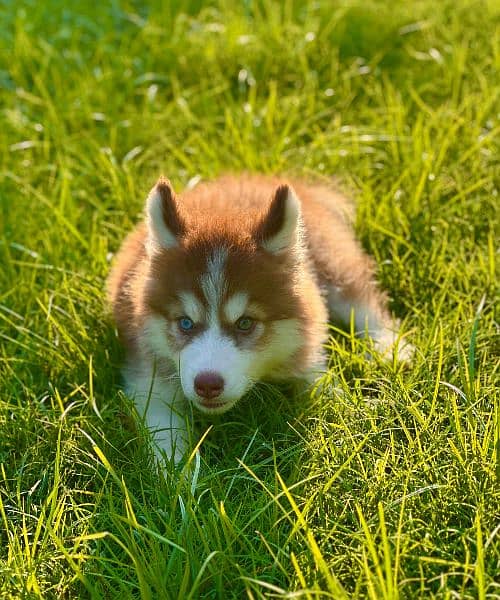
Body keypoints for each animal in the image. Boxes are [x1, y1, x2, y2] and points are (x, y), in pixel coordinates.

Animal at [106, 173, 410, 464]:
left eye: (245, 323)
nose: (207, 385)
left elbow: (327, 393)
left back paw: (391, 349)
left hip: (334, 267)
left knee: (363, 303)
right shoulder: (149, 379)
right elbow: (164, 433)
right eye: (185, 323)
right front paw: (180, 476)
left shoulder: (306, 350)